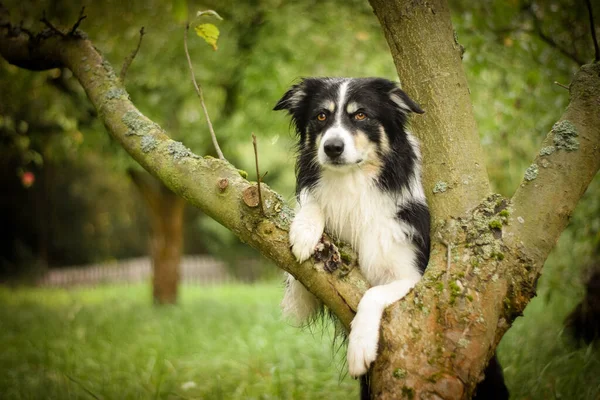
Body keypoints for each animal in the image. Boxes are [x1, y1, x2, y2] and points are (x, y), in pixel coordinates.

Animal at [274, 76, 508, 398]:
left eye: (361, 115)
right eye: (321, 116)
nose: (332, 147)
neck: (353, 184)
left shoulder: (413, 276)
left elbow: (371, 294)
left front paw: (359, 348)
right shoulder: (307, 291)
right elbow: (308, 223)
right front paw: (305, 230)